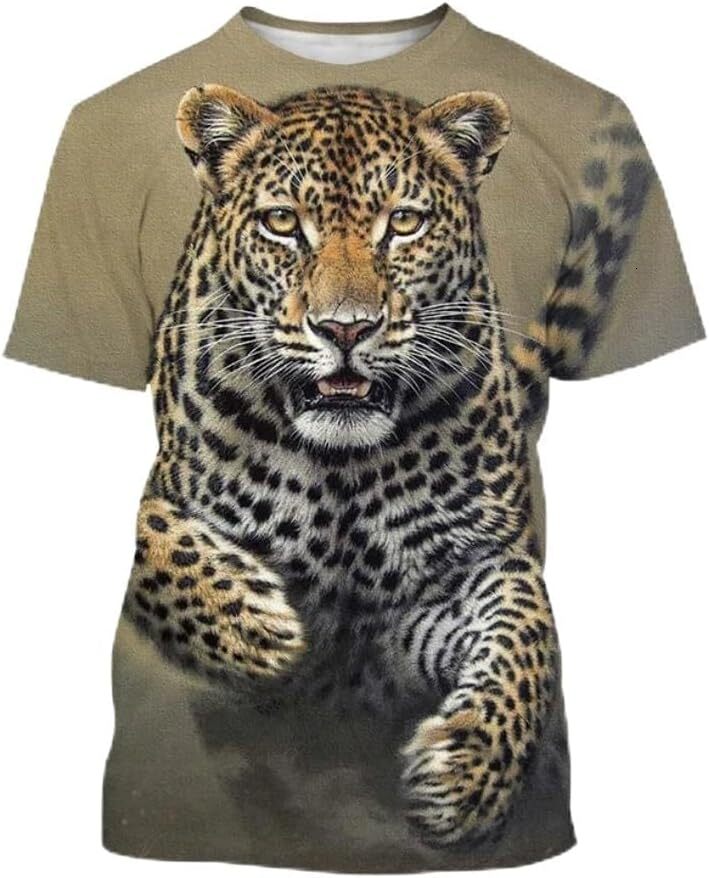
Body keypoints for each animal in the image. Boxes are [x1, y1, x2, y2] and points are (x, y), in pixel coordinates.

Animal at [123, 83, 651, 848]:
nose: (345, 328)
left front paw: (469, 773)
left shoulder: (443, 586)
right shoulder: (169, 497)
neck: (338, 471)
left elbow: (527, 622)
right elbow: (152, 537)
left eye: (403, 223)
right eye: (282, 222)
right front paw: (252, 622)